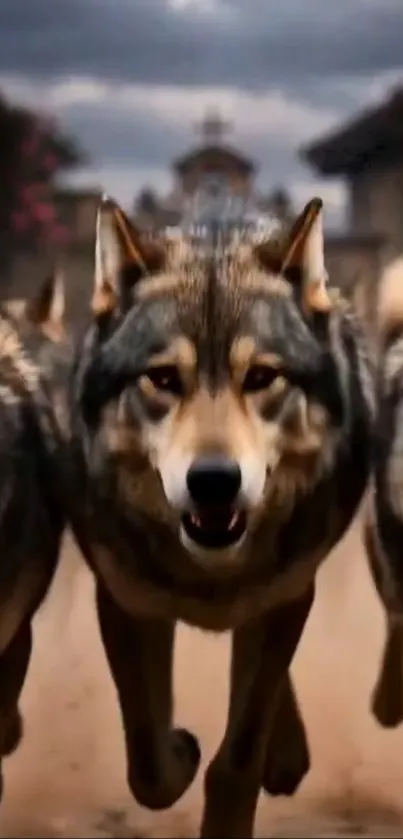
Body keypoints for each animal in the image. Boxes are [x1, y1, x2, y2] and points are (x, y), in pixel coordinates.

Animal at [67, 195, 375, 838]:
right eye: (162, 378)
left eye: (260, 378)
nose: (212, 481)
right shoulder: (125, 601)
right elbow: (148, 765)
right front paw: (181, 751)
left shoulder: (283, 597)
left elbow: (237, 761)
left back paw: (287, 754)